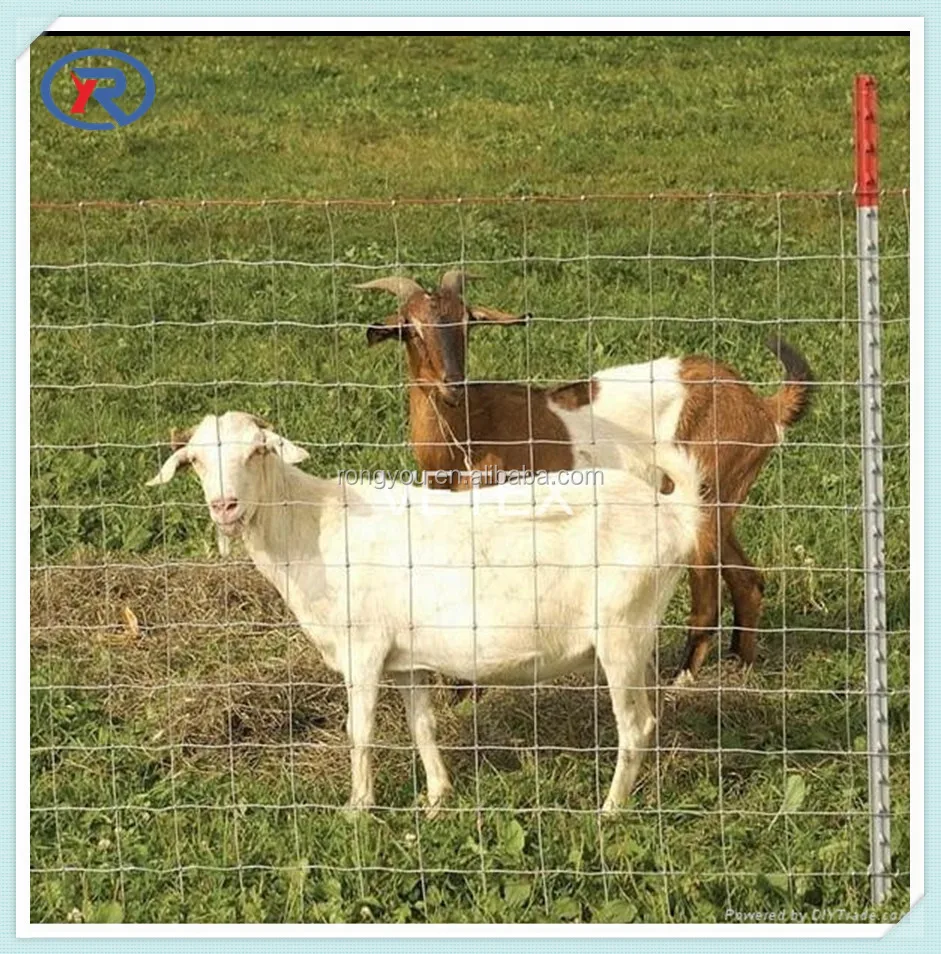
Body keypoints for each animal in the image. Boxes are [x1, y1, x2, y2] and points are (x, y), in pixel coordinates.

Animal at [148, 411, 703, 814]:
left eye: (257, 451)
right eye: (195, 460)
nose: (225, 506)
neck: (312, 526)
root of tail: (674, 513)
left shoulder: (364, 648)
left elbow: (360, 730)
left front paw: (358, 809)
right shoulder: (407, 658)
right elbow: (422, 726)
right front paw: (437, 799)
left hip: (620, 631)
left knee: (636, 725)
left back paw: (610, 812)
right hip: (636, 635)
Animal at [359, 271, 814, 678]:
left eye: (467, 321)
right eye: (411, 329)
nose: (452, 384)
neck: (468, 432)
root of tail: (761, 407)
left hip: (705, 493)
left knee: (707, 597)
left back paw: (682, 681)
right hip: (723, 499)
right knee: (748, 580)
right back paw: (742, 667)